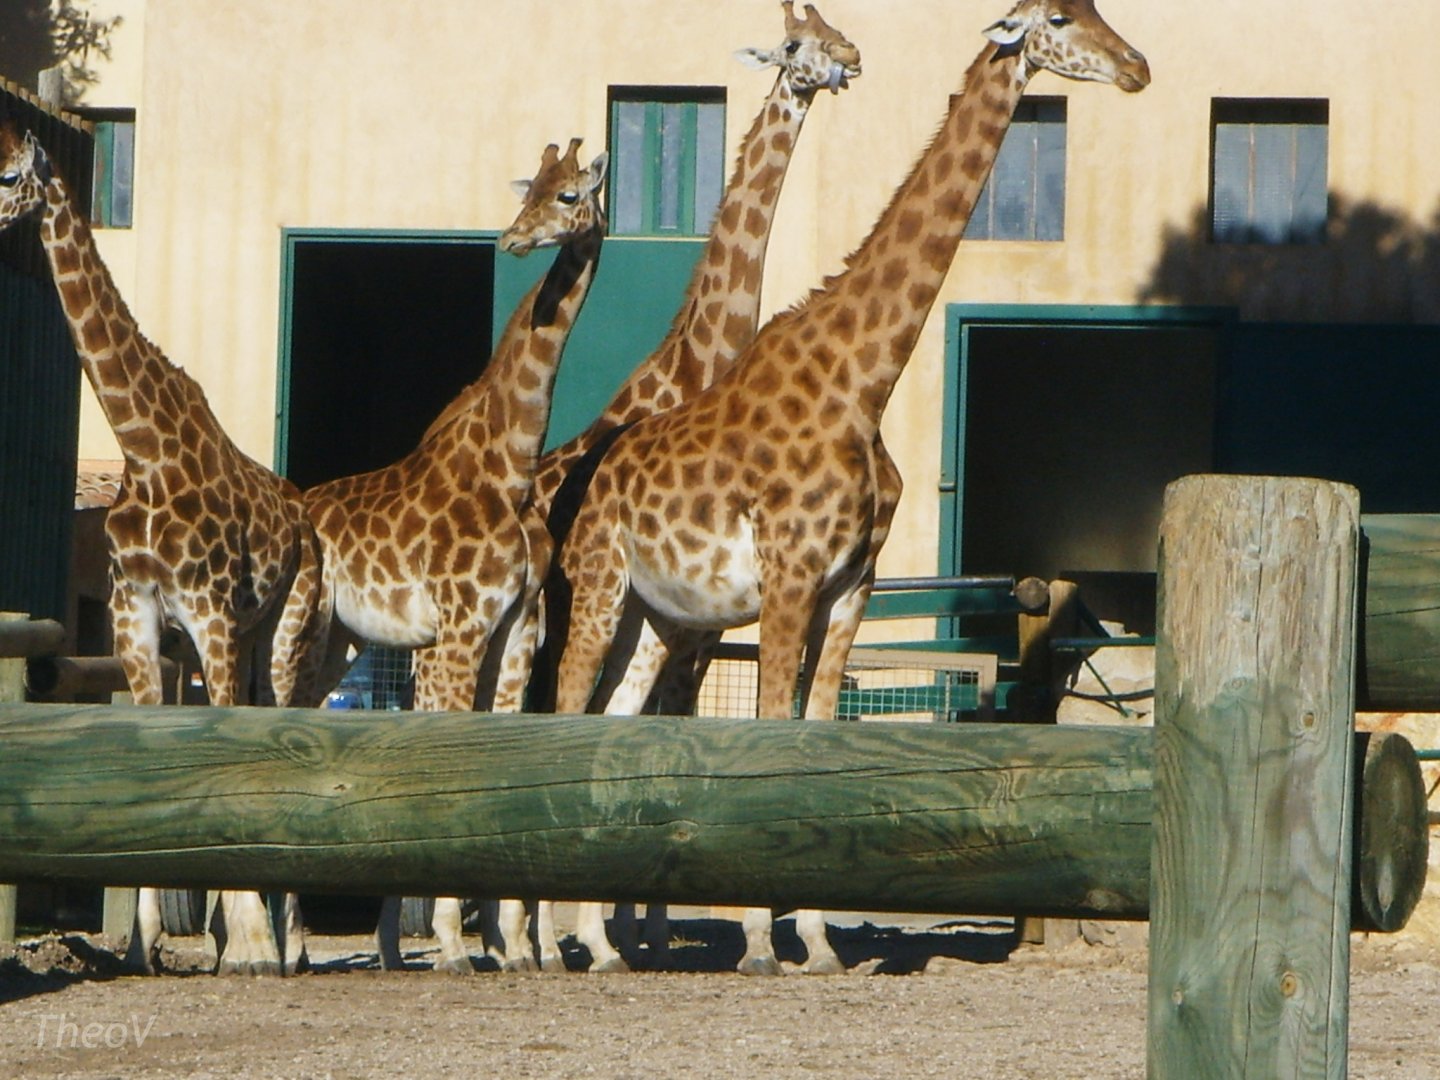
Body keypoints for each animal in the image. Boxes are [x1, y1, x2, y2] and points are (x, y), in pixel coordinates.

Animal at [0, 123, 320, 976]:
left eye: (8, 176)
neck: (140, 445)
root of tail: (306, 520)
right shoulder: (138, 622)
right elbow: (150, 753)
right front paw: (148, 947)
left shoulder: (209, 613)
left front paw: (251, 948)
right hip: (221, 648)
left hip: (284, 635)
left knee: (284, 726)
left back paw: (291, 944)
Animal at [271, 138, 607, 974]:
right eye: (531, 191)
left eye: (567, 196)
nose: (513, 240)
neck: (512, 467)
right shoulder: (459, 629)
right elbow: (450, 759)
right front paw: (458, 945)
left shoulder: (517, 632)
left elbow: (496, 756)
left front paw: (516, 950)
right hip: (308, 630)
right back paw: (283, 943)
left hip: (348, 639)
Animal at [517, 0, 862, 975]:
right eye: (796, 45)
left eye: (830, 30)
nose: (850, 60)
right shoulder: (686, 619)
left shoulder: (692, 626)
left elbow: (667, 735)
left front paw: (649, 927)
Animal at [553, 0, 1149, 975]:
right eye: (1061, 18)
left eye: (1102, 11)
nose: (1137, 67)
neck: (861, 378)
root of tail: (592, 475)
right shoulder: (790, 576)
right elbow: (768, 731)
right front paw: (762, 943)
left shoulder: (852, 585)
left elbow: (820, 728)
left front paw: (821, 942)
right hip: (602, 586)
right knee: (565, 708)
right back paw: (553, 938)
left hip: (659, 615)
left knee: (612, 721)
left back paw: (604, 943)